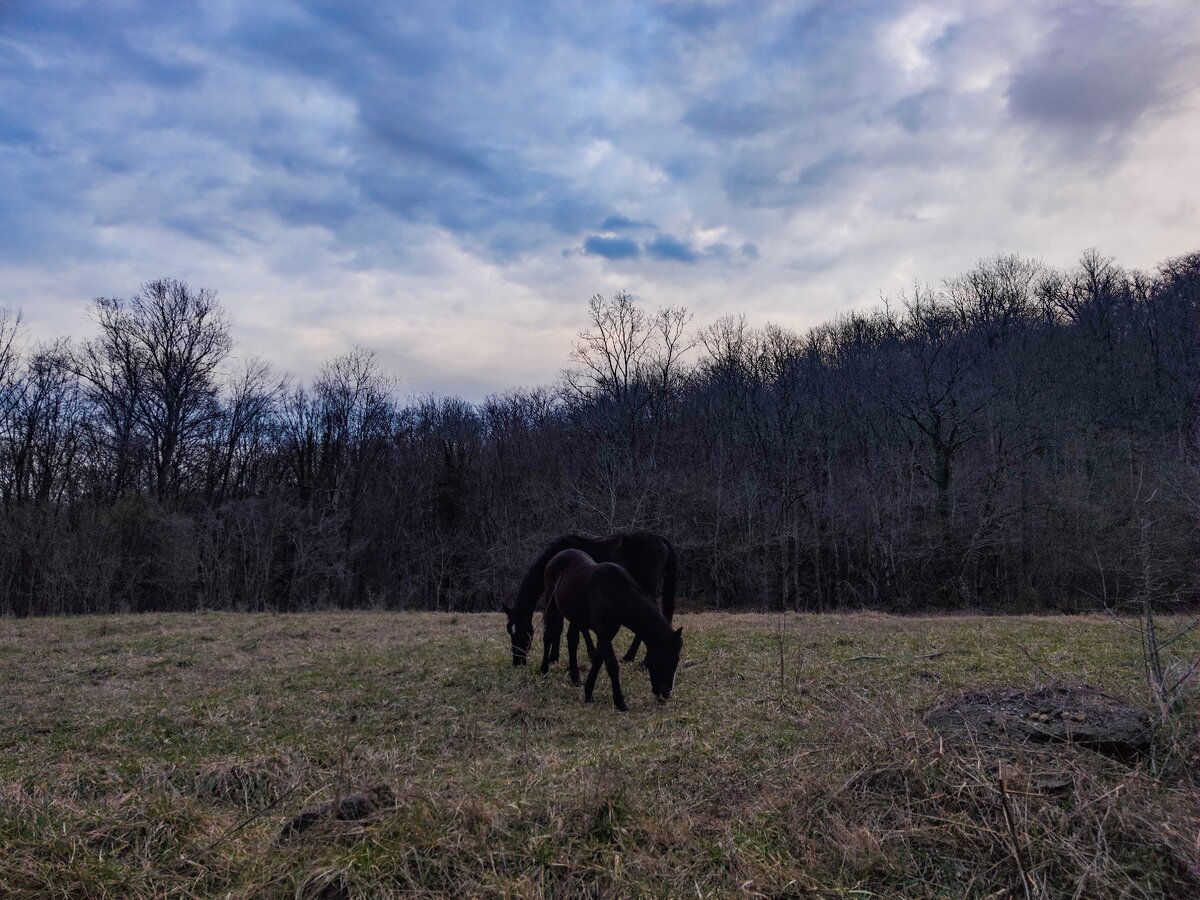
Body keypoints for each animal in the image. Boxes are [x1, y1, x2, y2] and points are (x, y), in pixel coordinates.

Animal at [501, 528, 681, 672]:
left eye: (524, 632)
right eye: (509, 631)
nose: (518, 662)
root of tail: (661, 539)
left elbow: (564, 626)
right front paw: (556, 657)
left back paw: (638, 660)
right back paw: (630, 658)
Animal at [540, 549, 681, 710]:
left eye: (676, 661)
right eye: (664, 659)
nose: (666, 693)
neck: (615, 594)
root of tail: (556, 557)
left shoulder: (609, 633)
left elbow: (598, 660)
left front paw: (588, 692)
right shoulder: (603, 633)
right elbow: (612, 665)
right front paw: (620, 702)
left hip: (575, 616)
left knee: (572, 640)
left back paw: (575, 677)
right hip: (551, 603)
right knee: (548, 635)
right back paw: (544, 670)